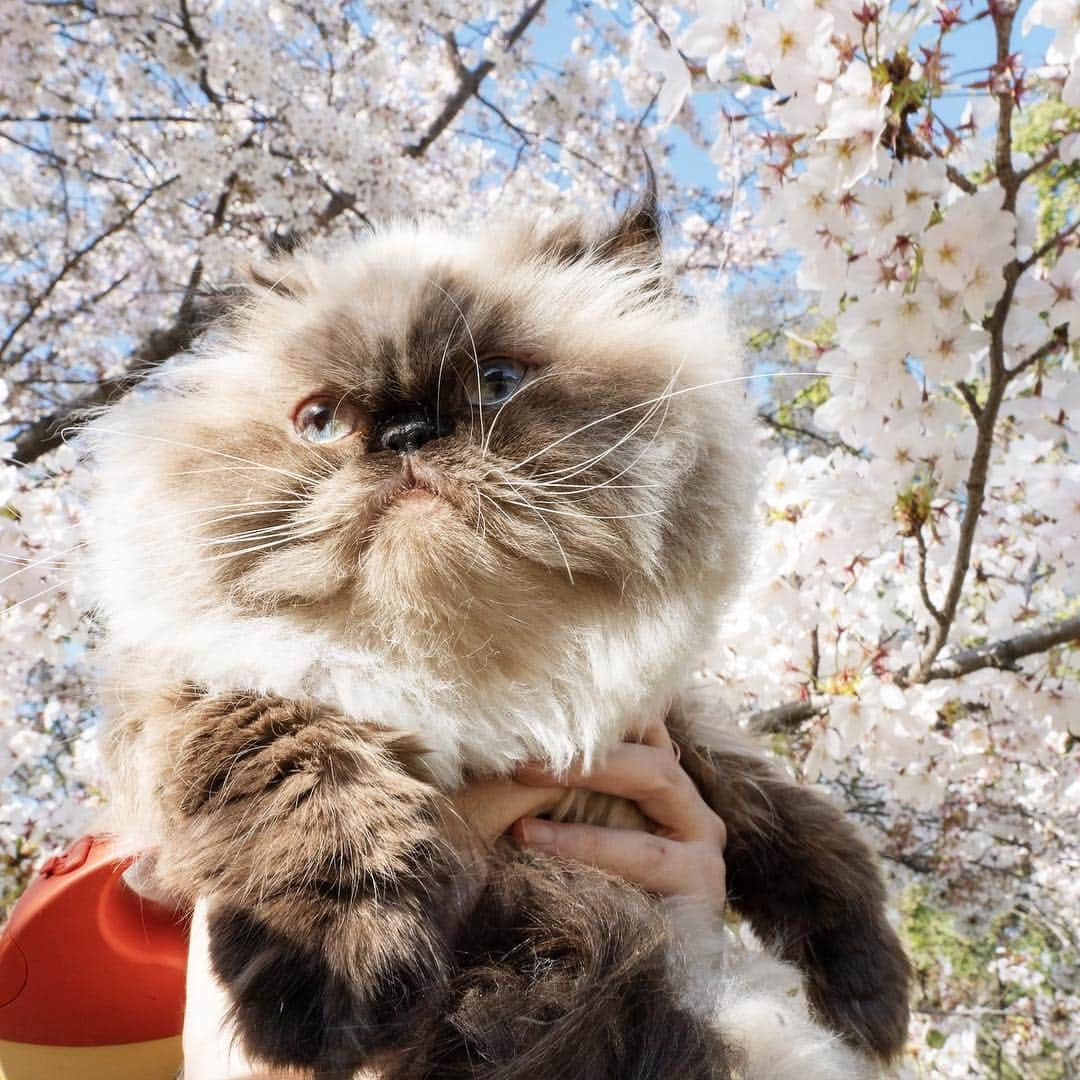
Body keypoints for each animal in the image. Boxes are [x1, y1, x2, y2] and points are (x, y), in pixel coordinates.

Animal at [86, 196, 911, 1080]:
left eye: (498, 384)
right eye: (320, 422)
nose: (408, 434)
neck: (477, 687)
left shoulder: (657, 731)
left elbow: (784, 816)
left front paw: (871, 998)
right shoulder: (213, 683)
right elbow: (304, 776)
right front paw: (330, 986)